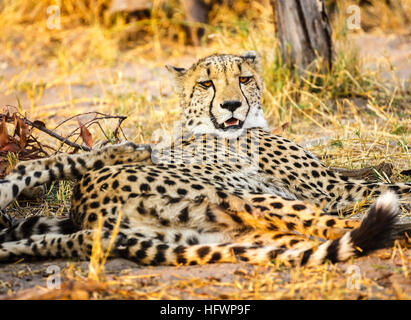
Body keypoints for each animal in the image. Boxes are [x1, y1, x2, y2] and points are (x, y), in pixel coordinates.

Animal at [0, 52, 408, 266]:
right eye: (206, 83)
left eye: (244, 78)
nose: (231, 105)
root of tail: (86, 213)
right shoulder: (331, 191)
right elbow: (393, 184)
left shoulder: (333, 181)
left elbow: (380, 173)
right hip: (245, 198)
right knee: (335, 228)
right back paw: (397, 231)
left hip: (220, 233)